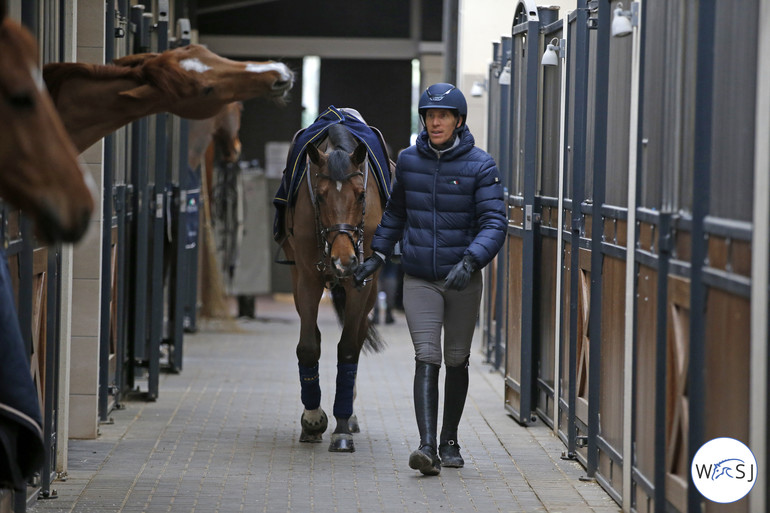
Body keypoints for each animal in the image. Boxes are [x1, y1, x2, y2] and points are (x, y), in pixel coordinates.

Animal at [280, 118, 390, 450]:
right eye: (320, 195)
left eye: (361, 195)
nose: (344, 260)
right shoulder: (307, 278)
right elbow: (307, 346)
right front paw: (313, 420)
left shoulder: (360, 282)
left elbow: (349, 349)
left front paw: (341, 425)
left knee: (359, 333)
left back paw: (349, 415)